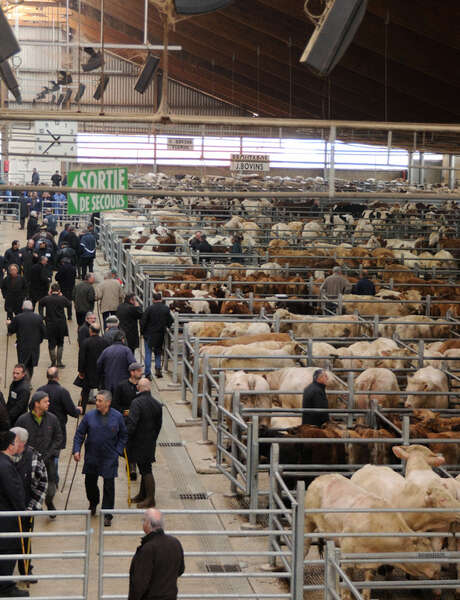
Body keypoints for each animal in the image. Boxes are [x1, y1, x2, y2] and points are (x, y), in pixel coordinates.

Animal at [304, 474, 436, 600]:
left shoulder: (371, 561)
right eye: (424, 552)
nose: (435, 570)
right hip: (308, 520)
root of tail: (320, 478)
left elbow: (367, 582)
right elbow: (346, 579)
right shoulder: (347, 554)